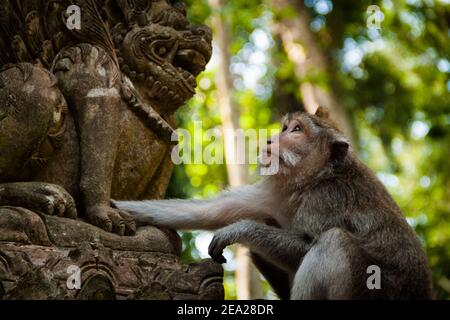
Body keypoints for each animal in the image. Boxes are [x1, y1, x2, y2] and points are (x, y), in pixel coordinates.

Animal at [112, 108, 432, 300]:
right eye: (285, 127)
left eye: (296, 130)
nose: (269, 140)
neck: (313, 179)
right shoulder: (278, 189)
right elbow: (214, 210)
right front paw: (113, 208)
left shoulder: (325, 200)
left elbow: (306, 246)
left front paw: (239, 230)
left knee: (333, 243)